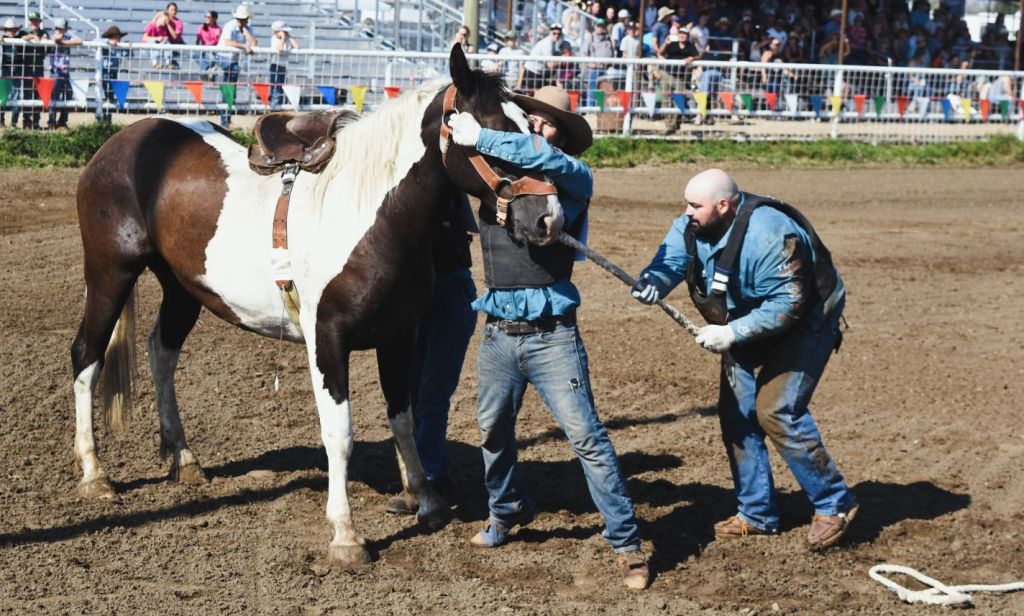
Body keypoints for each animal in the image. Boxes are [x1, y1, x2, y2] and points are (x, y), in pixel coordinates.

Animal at [70, 44, 564, 567]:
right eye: (495, 135)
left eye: (532, 128)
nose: (549, 218)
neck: (366, 214)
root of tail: (123, 141)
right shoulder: (326, 339)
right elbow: (339, 434)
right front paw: (346, 535)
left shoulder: (399, 337)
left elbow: (403, 420)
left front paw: (426, 502)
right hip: (110, 274)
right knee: (87, 357)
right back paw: (95, 474)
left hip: (183, 288)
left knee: (160, 353)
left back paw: (184, 459)